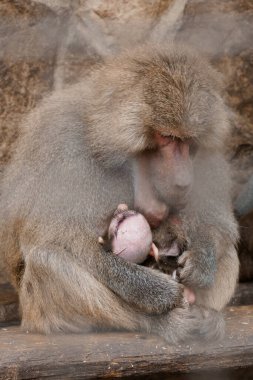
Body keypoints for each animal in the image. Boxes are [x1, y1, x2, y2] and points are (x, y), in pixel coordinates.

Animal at [0, 45, 237, 342]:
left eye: (188, 140)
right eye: (168, 137)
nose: (183, 180)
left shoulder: (207, 155)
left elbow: (217, 224)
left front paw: (200, 264)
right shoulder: (63, 147)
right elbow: (56, 238)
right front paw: (155, 291)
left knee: (228, 251)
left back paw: (206, 318)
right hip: (35, 312)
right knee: (48, 260)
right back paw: (161, 323)